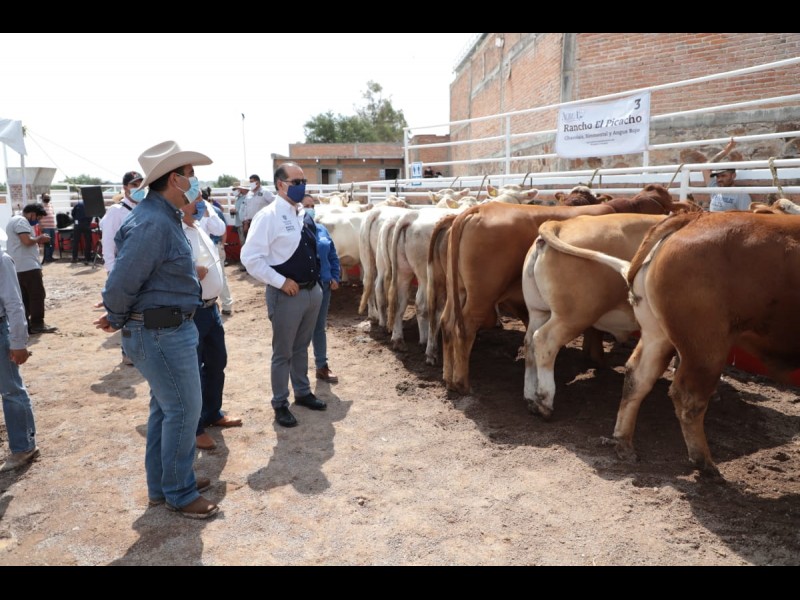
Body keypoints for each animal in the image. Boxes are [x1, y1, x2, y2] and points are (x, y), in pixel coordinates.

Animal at [521, 213, 666, 419]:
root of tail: (559, 224)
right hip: (574, 316)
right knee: (544, 340)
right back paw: (544, 401)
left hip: (538, 311)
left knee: (529, 343)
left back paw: (530, 396)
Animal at [551, 211, 800, 475]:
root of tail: (692, 218)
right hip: (707, 347)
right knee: (689, 398)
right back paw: (705, 462)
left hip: (656, 335)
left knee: (637, 377)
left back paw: (624, 443)